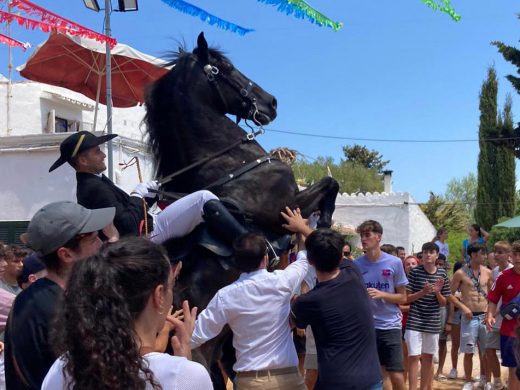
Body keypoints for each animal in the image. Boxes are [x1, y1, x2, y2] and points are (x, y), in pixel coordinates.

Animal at [143, 32, 338, 388]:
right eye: (223, 67)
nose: (271, 102)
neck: (233, 162)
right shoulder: (284, 207)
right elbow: (330, 184)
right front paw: (324, 226)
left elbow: (331, 184)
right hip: (200, 354)